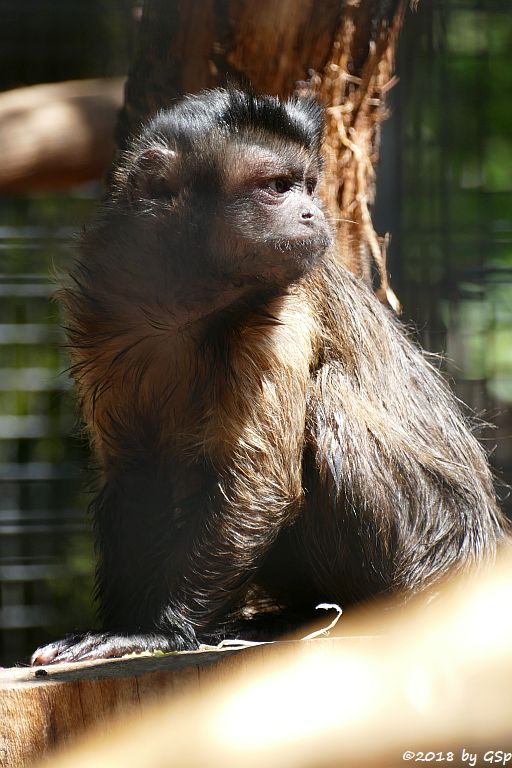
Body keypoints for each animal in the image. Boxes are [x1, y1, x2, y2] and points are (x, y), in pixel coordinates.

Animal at [32, 88, 508, 664]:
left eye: (307, 185)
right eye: (277, 187)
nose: (313, 212)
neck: (185, 305)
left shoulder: (283, 305)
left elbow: (261, 484)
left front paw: (157, 632)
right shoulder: (101, 309)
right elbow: (133, 473)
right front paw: (125, 623)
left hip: (432, 543)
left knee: (327, 406)